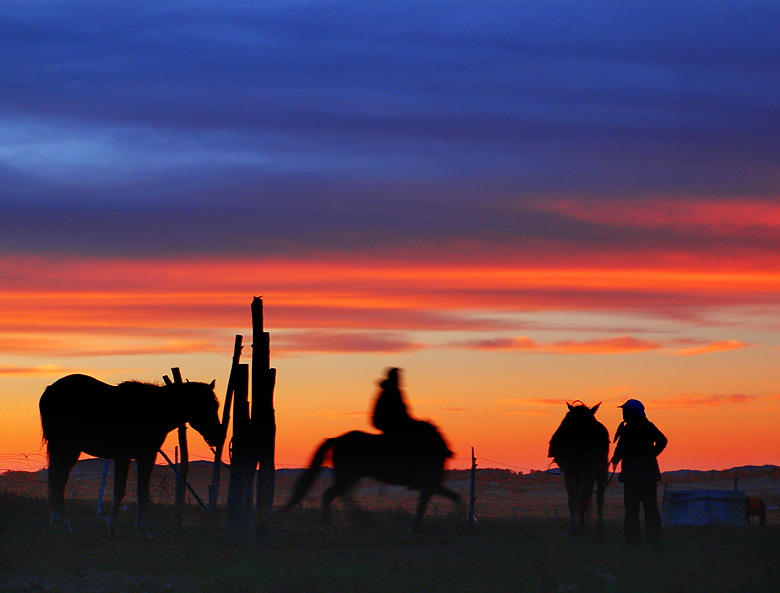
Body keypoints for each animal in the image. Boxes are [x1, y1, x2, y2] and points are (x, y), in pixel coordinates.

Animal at [40, 374, 222, 536]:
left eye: (217, 406)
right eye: (208, 406)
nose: (218, 436)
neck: (155, 410)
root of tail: (50, 389)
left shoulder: (137, 457)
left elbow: (136, 491)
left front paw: (127, 527)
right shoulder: (137, 456)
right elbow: (127, 491)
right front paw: (131, 528)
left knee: (58, 481)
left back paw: (60, 523)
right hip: (69, 448)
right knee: (59, 482)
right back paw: (63, 524)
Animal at [282, 418, 460, 528]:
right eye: (433, 435)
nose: (449, 452)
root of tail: (337, 438)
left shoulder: (430, 484)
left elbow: (438, 499)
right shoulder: (429, 483)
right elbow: (427, 503)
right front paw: (462, 516)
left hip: (350, 477)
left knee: (341, 494)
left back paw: (359, 517)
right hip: (348, 476)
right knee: (331, 494)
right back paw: (333, 521)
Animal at [548, 400, 608, 536]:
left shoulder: (588, 473)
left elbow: (583, 501)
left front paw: (580, 527)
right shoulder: (570, 473)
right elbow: (573, 500)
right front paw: (574, 528)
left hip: (600, 472)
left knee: (599, 497)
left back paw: (599, 528)